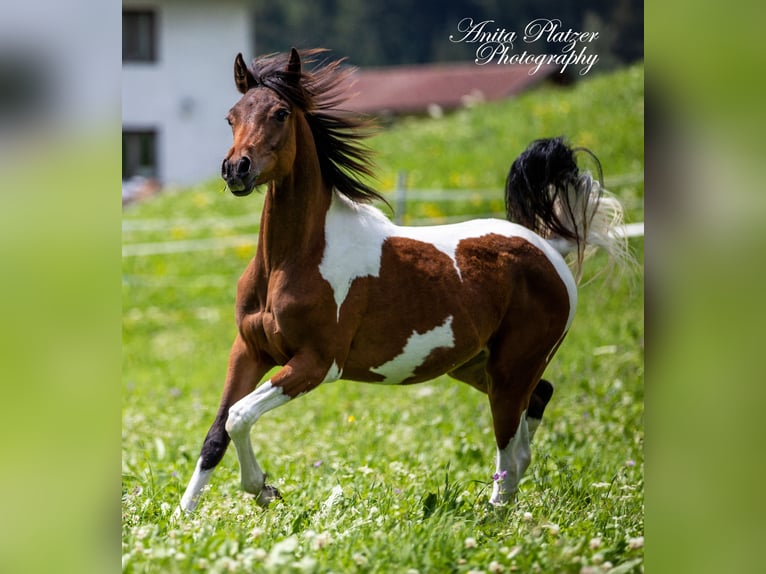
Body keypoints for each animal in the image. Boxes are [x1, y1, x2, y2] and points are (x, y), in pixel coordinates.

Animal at [178, 48, 630, 513]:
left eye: (280, 113)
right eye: (231, 116)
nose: (237, 169)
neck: (292, 260)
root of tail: (549, 247)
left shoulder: (317, 363)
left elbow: (239, 415)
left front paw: (264, 489)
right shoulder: (249, 351)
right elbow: (216, 433)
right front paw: (184, 517)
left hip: (512, 368)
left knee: (512, 448)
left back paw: (492, 516)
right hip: (475, 365)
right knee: (537, 404)